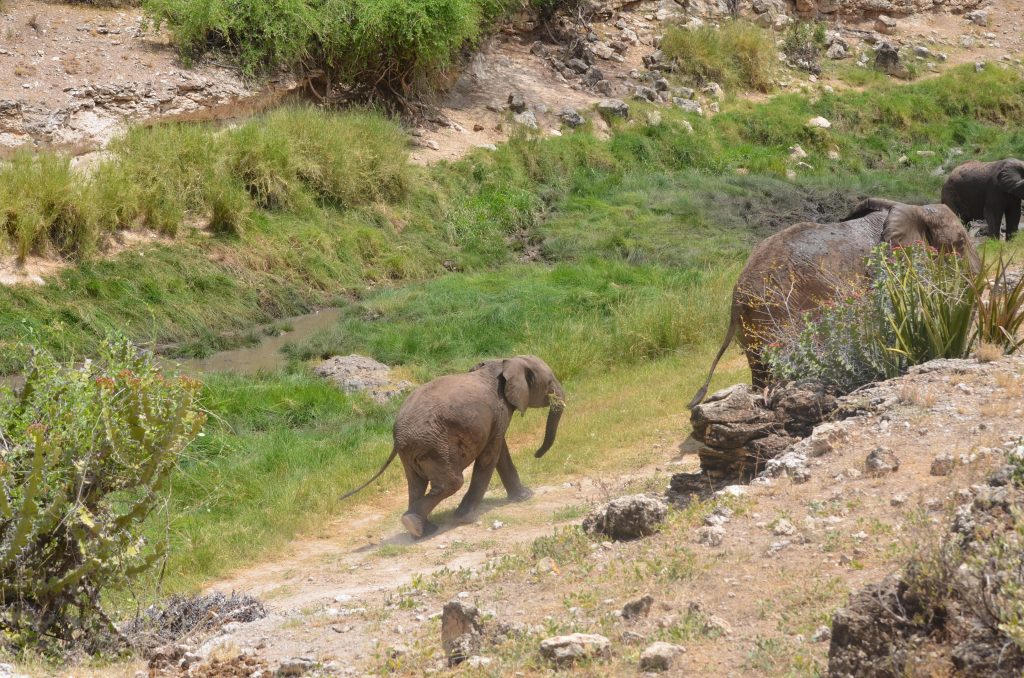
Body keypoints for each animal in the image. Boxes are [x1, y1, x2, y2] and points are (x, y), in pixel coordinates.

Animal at [340, 355, 565, 538]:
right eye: (549, 382)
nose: (536, 455)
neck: (506, 361)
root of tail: (399, 436)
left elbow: (500, 451)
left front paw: (525, 497)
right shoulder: (500, 410)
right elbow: (490, 456)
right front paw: (464, 519)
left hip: (415, 451)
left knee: (416, 484)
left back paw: (421, 529)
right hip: (434, 445)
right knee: (452, 482)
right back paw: (414, 523)